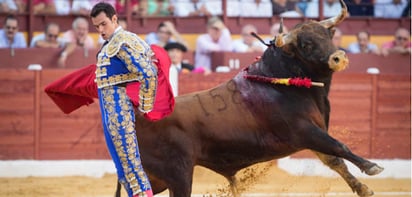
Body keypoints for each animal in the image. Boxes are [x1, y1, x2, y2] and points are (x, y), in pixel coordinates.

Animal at [116, 0, 384, 196]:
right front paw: (372, 166)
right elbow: (340, 146)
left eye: (327, 36)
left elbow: (334, 160)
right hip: (178, 175)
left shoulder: (315, 134)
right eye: (306, 44)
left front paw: (363, 189)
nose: (339, 57)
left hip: (157, 178)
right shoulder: (303, 131)